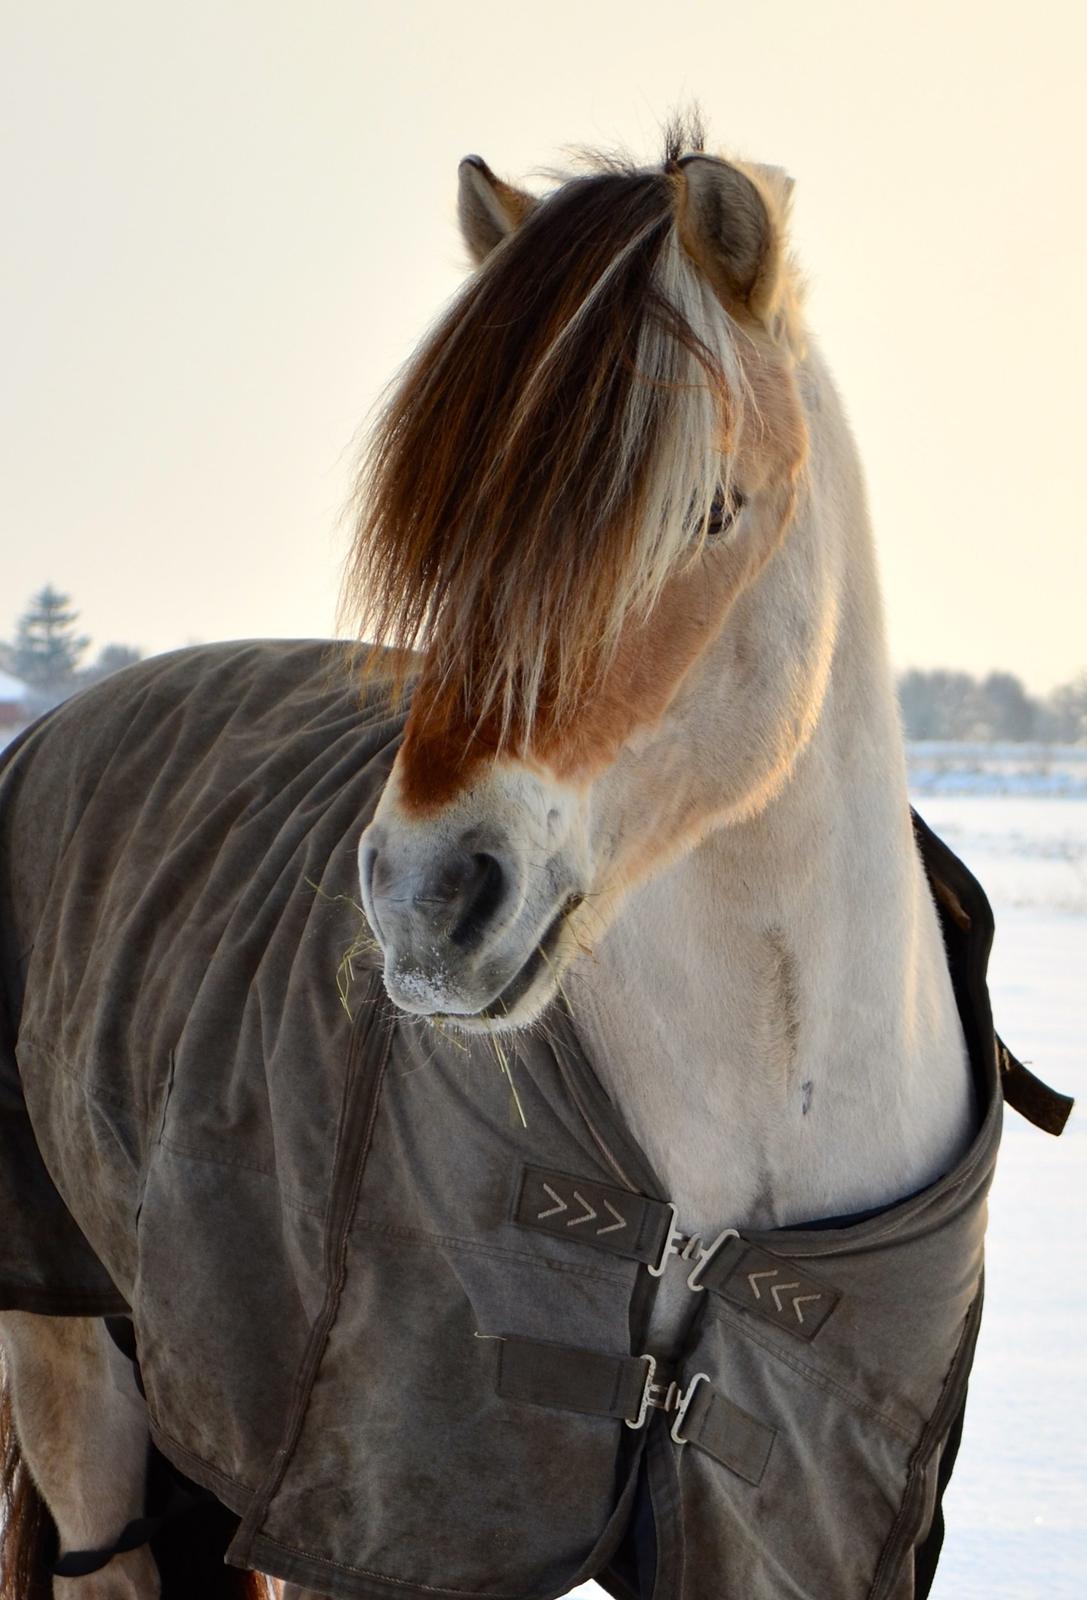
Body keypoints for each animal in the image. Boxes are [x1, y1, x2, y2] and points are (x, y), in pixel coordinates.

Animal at [0, 118, 1069, 1593]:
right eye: (448, 520)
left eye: (713, 508)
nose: (428, 900)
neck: (753, 1135)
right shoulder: (391, 1510)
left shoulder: (773, 1525)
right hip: (73, 1362)